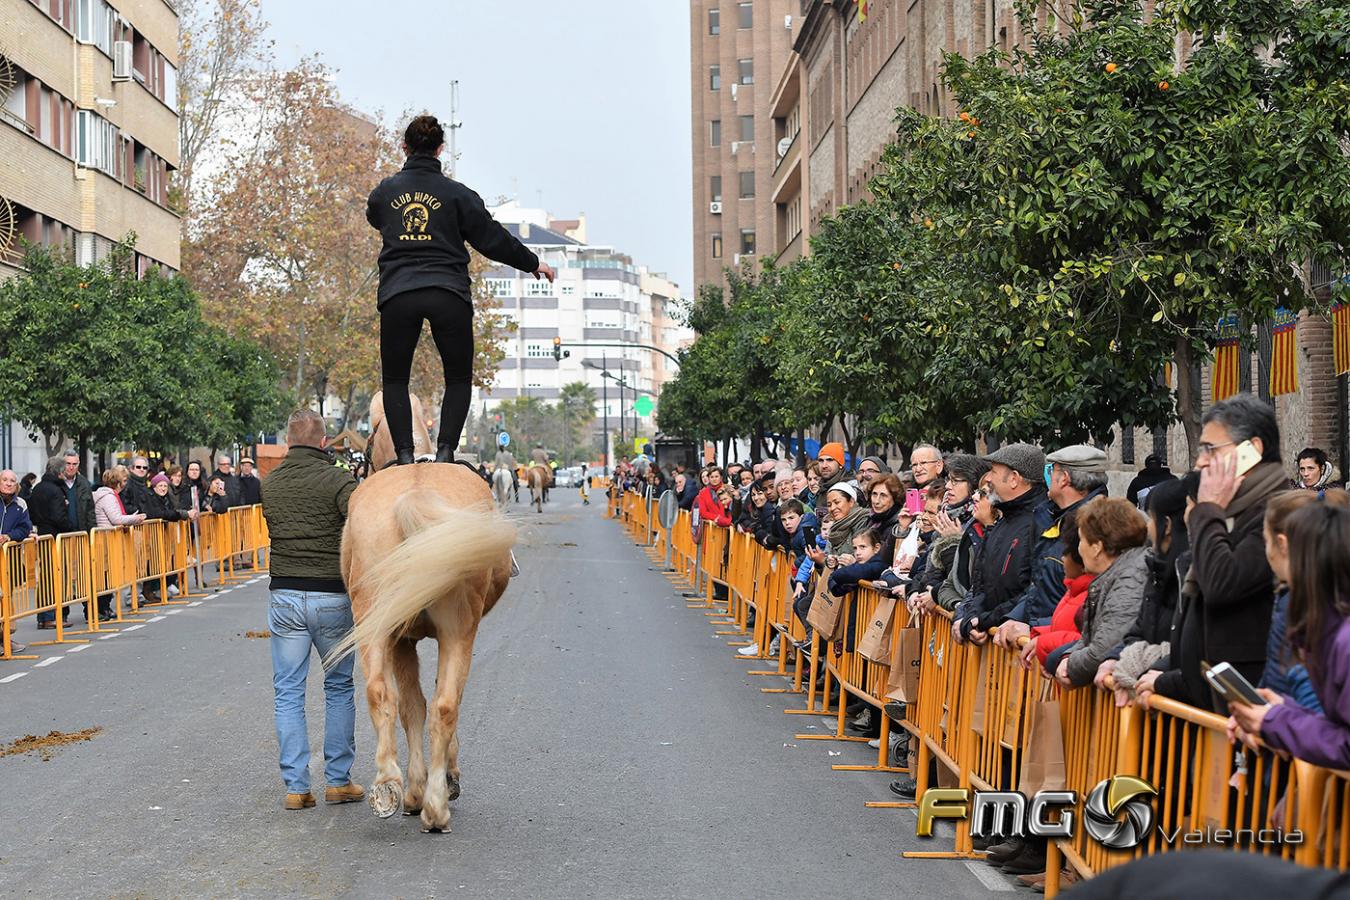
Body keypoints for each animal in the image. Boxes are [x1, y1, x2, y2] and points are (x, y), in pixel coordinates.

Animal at [326, 391, 515, 836]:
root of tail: (415, 492)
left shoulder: (399, 637)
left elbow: (410, 704)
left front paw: (413, 788)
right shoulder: (411, 639)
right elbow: (423, 705)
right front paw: (435, 783)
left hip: (377, 623)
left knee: (380, 692)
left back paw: (389, 787)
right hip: (458, 630)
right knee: (446, 704)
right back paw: (433, 805)